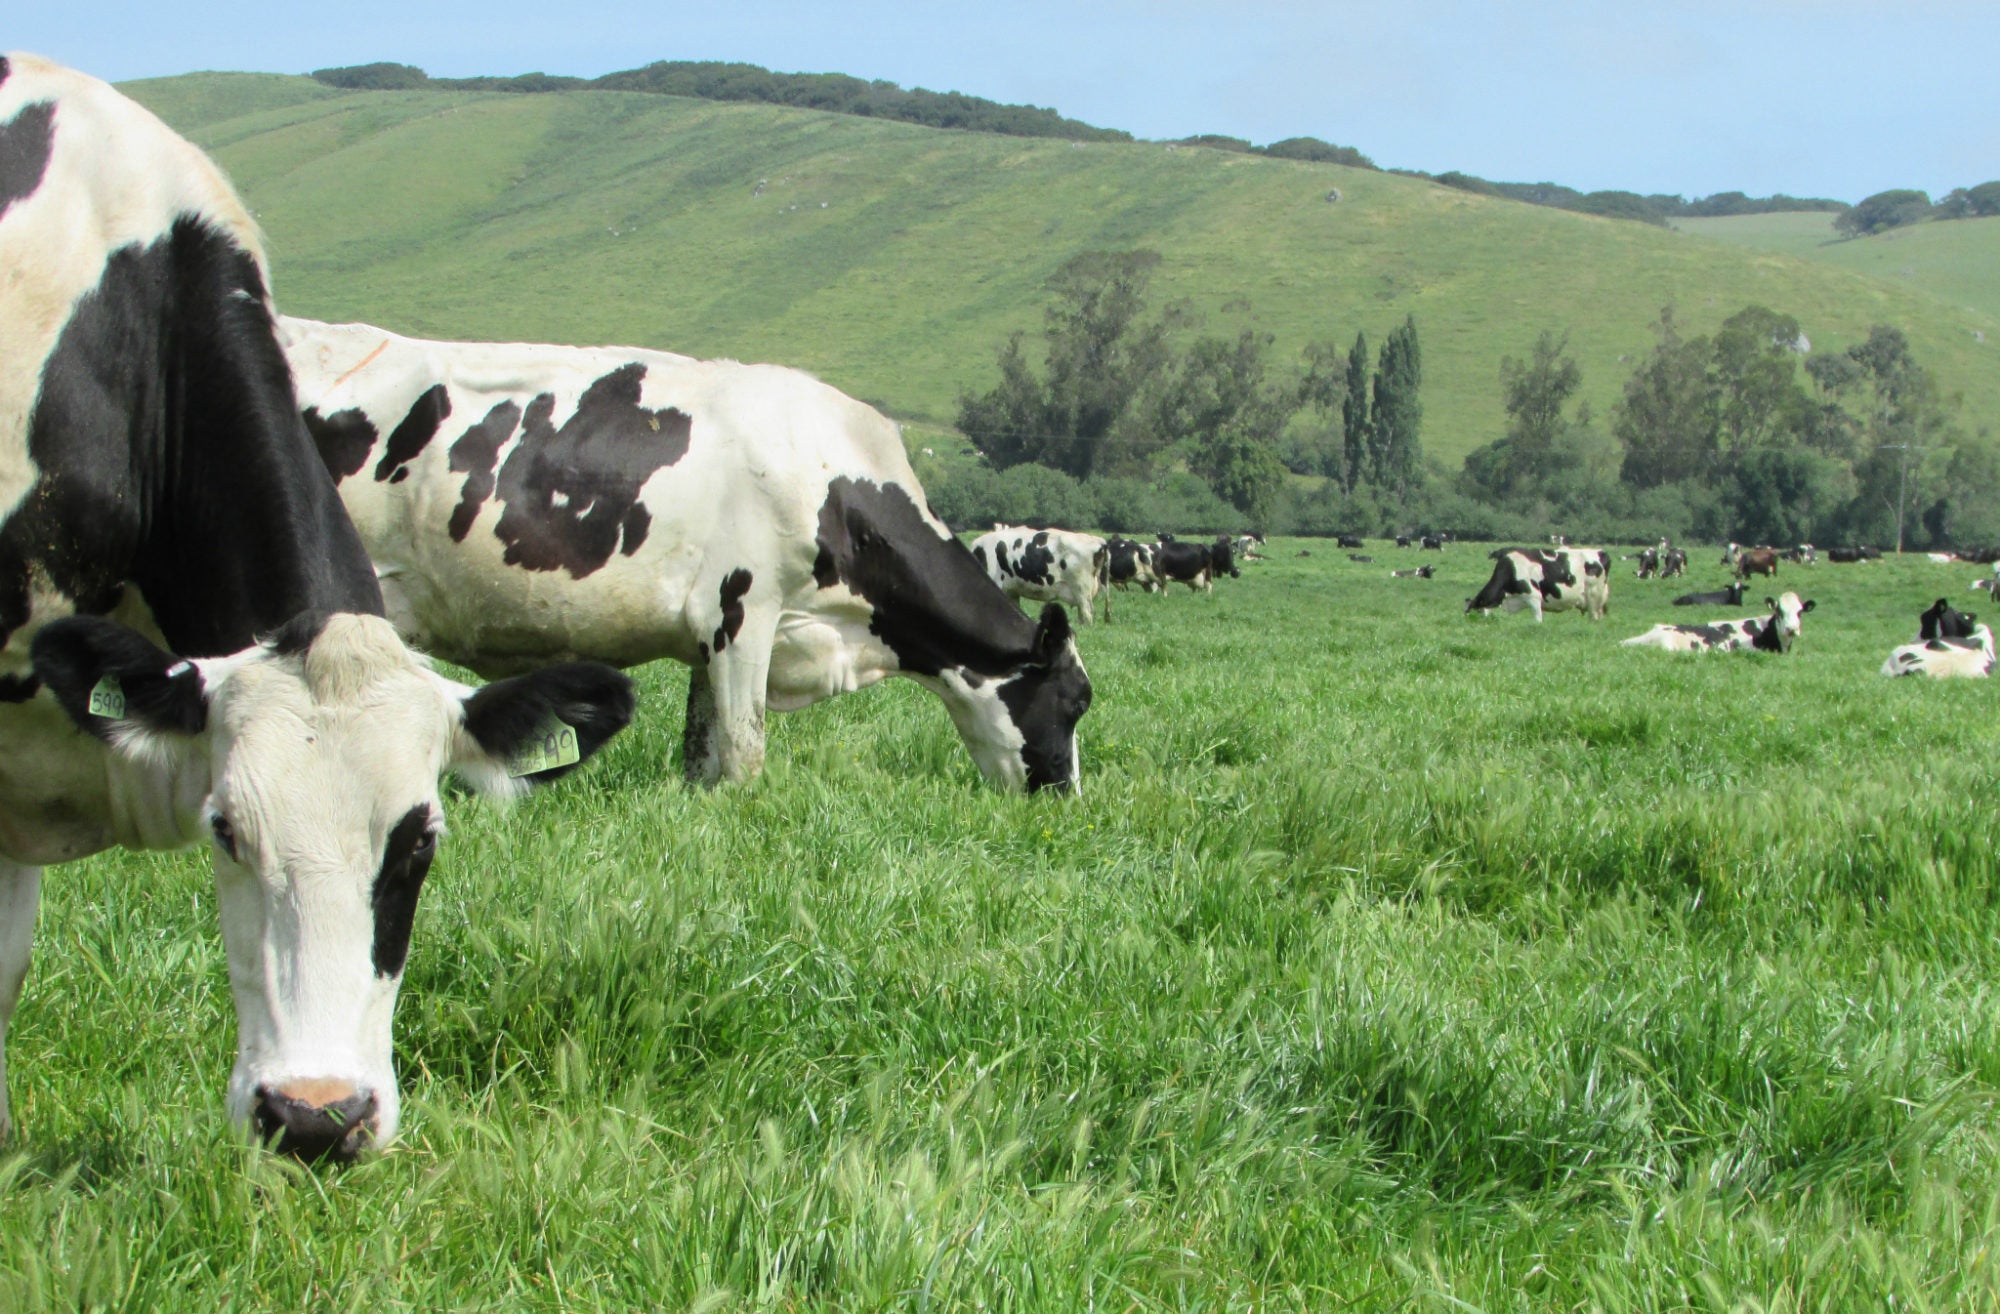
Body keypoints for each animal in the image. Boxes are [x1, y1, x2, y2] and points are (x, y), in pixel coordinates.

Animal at [278, 318, 1096, 788]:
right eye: (1078, 701)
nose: (1064, 801)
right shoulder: (745, 612)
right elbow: (744, 756)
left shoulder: (713, 638)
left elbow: (701, 756)